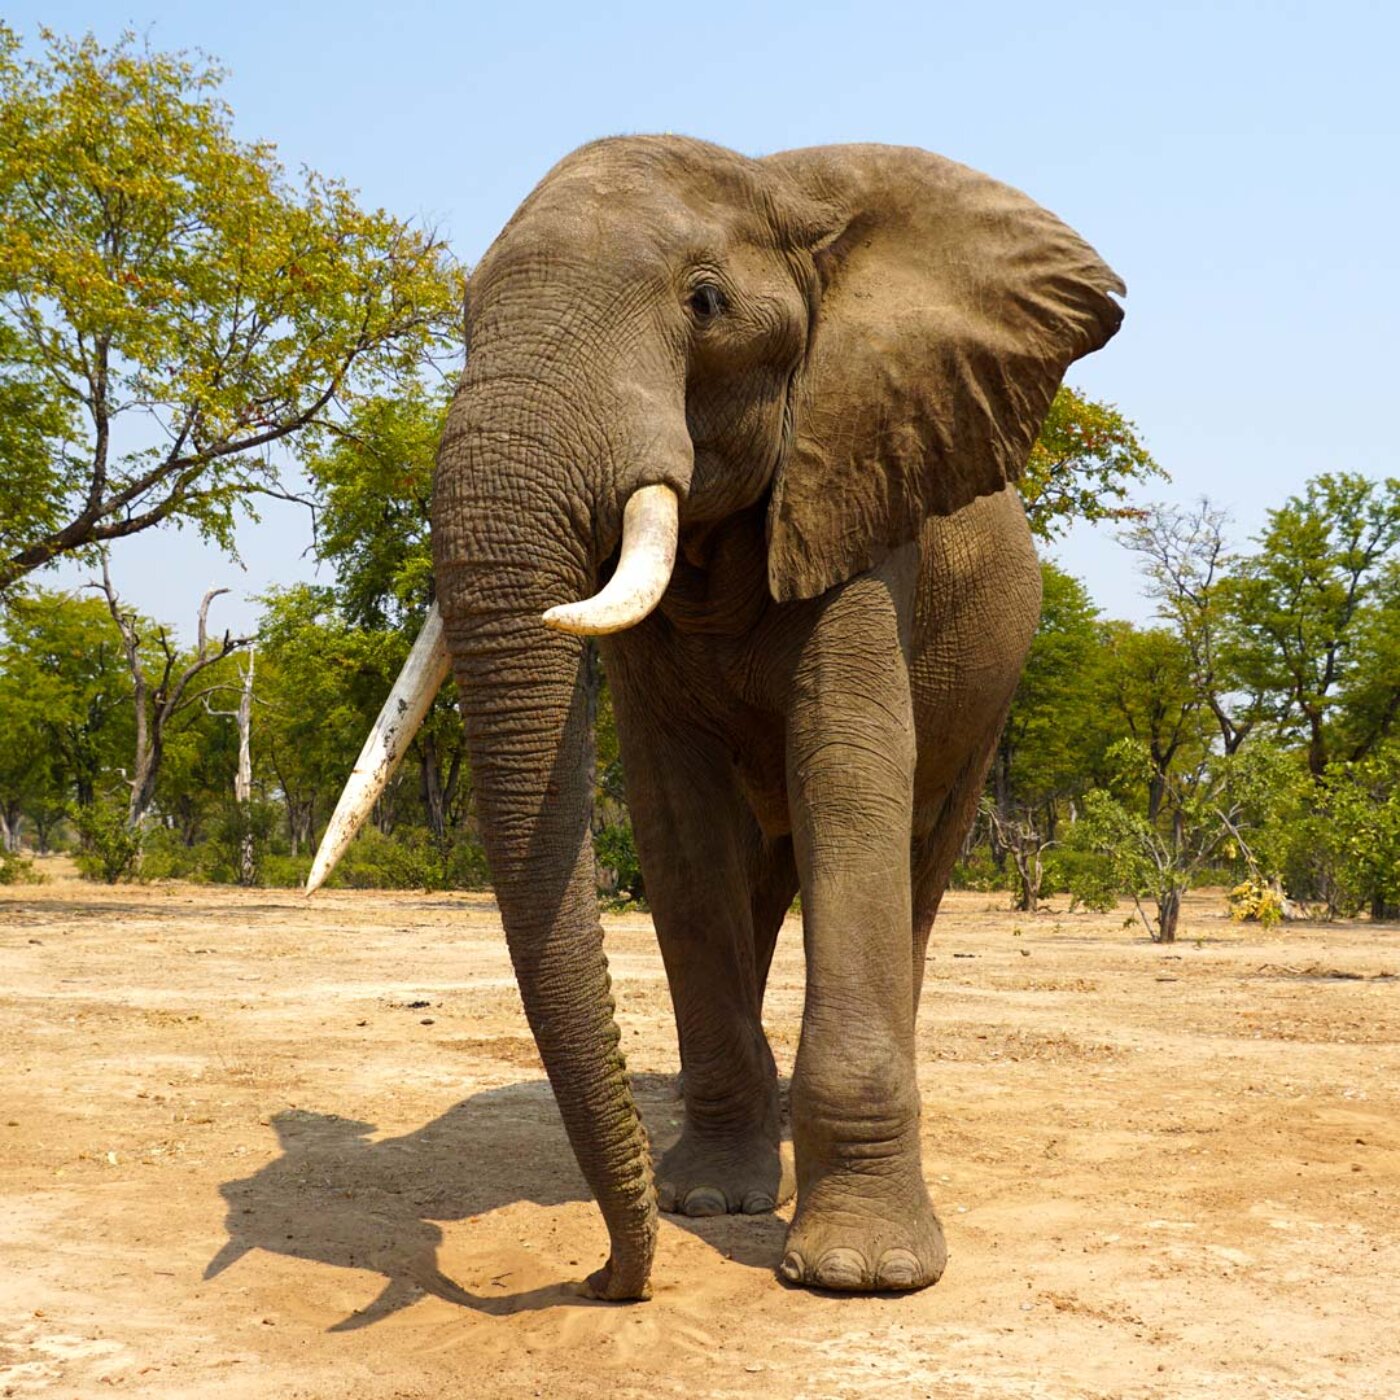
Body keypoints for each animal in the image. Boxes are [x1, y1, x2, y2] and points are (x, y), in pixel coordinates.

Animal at [309, 136, 1125, 1293]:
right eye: (463, 314)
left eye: (704, 304)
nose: (606, 1279)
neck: (783, 189)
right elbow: (675, 818)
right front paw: (707, 1200)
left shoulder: (863, 498)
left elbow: (847, 770)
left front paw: (860, 1272)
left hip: (994, 691)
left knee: (918, 861)